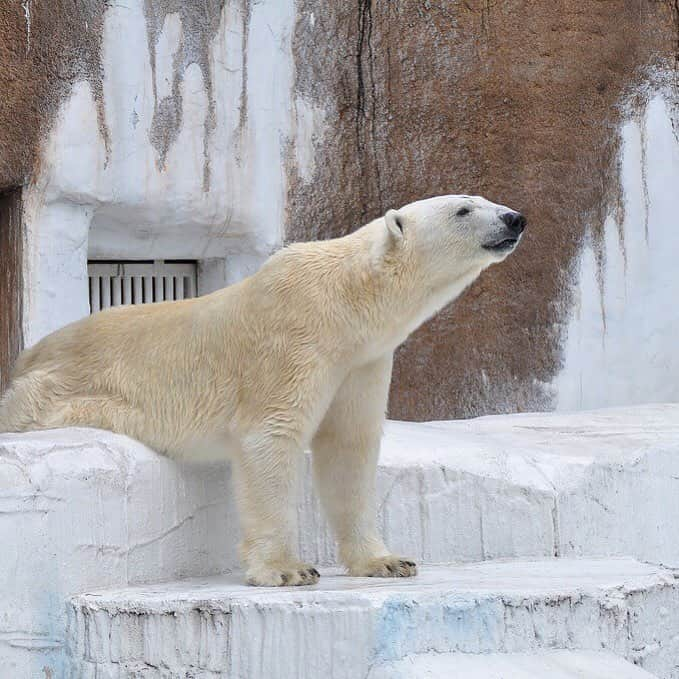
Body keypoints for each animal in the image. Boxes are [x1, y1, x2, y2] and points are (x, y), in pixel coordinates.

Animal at [0, 194, 524, 588]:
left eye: (483, 199)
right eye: (463, 209)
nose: (514, 218)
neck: (346, 302)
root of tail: (29, 356)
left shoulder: (362, 362)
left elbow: (349, 450)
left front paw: (387, 560)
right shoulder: (292, 339)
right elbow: (271, 435)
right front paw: (287, 569)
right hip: (65, 390)